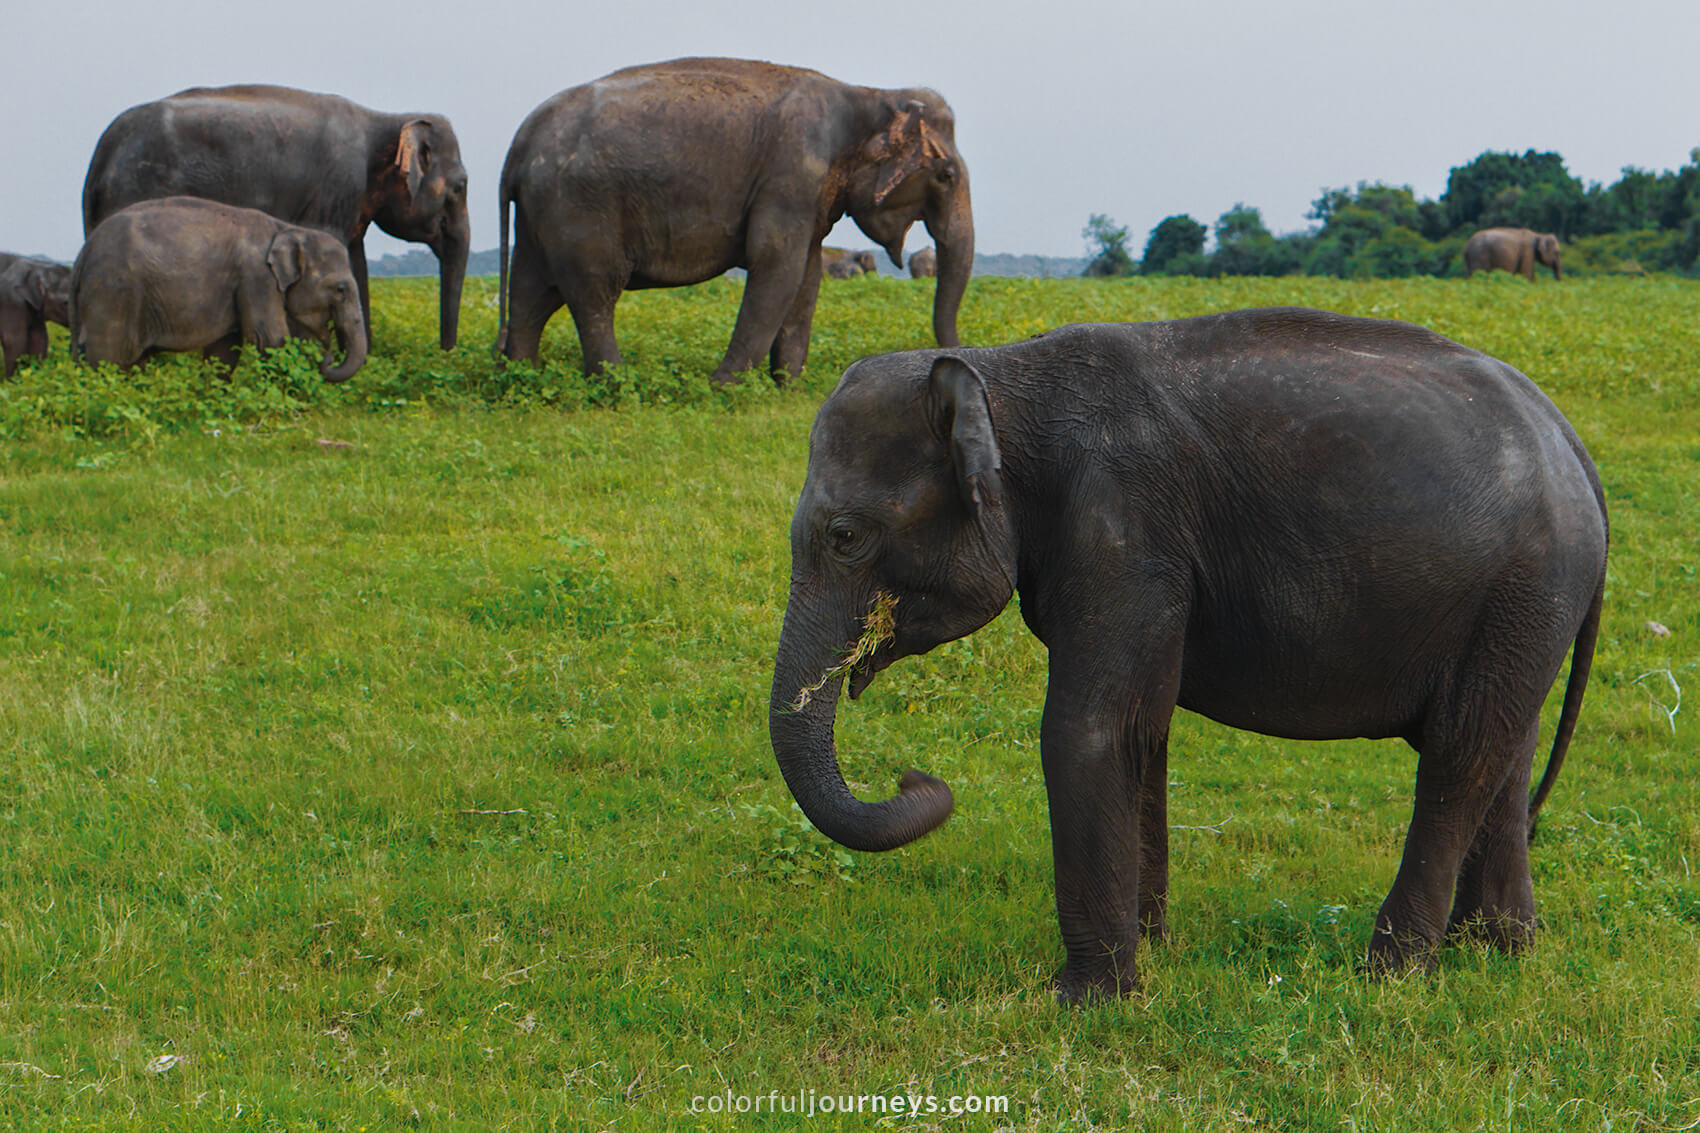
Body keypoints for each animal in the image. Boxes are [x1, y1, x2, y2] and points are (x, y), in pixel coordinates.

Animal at [71, 197, 367, 382]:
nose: (327, 357)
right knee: (108, 359)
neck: (287, 228)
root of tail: (82, 253)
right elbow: (269, 340)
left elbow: (225, 349)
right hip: (113, 292)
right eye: (340, 289)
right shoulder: (256, 277)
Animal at [81, 84, 469, 349]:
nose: (445, 352)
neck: (386, 119)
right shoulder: (335, 188)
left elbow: (355, 261)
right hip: (134, 189)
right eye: (461, 186)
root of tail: (100, 153)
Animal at [496, 57, 974, 385]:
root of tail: (519, 142)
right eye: (946, 175)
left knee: (532, 293)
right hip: (578, 207)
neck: (867, 95)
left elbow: (806, 277)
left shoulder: (809, 195)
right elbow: (776, 267)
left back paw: (522, 378)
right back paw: (615, 385)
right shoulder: (790, 175)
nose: (954, 354)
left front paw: (788, 387)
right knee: (592, 291)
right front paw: (724, 387)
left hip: (541, 212)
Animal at [769, 307, 1607, 1004]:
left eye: (845, 535)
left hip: (1525, 584)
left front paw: (1086, 999)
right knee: (1506, 747)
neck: (998, 371)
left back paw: (1392, 974)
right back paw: (1496, 949)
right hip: (1518, 607)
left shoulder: (1125, 530)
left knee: (1461, 753)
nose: (917, 778)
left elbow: (1088, 727)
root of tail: (1571, 439)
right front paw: (1153, 949)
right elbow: (1142, 727)